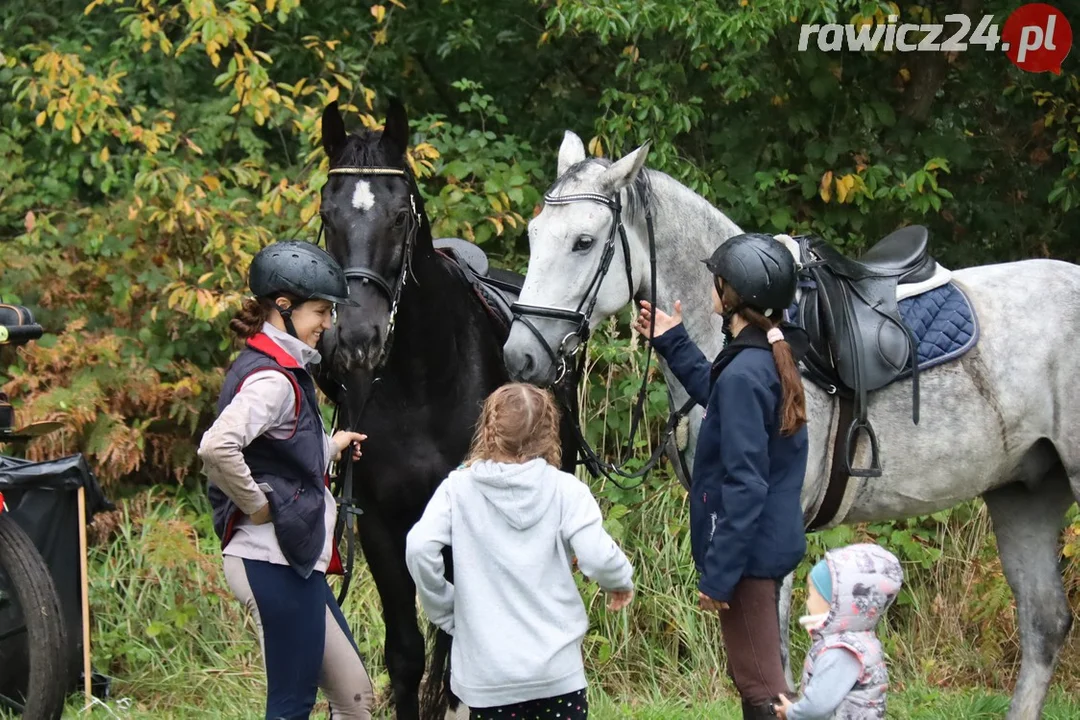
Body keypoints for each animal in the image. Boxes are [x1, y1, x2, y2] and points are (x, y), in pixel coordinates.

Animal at [315, 99, 574, 720]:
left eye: (398, 218)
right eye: (328, 214)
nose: (355, 340)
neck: (422, 382)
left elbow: (463, 657)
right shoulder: (381, 526)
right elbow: (407, 655)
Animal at [503, 131, 1080, 720]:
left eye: (583, 242)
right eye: (533, 234)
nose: (520, 356)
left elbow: (770, 669)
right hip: (1023, 494)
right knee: (1044, 623)